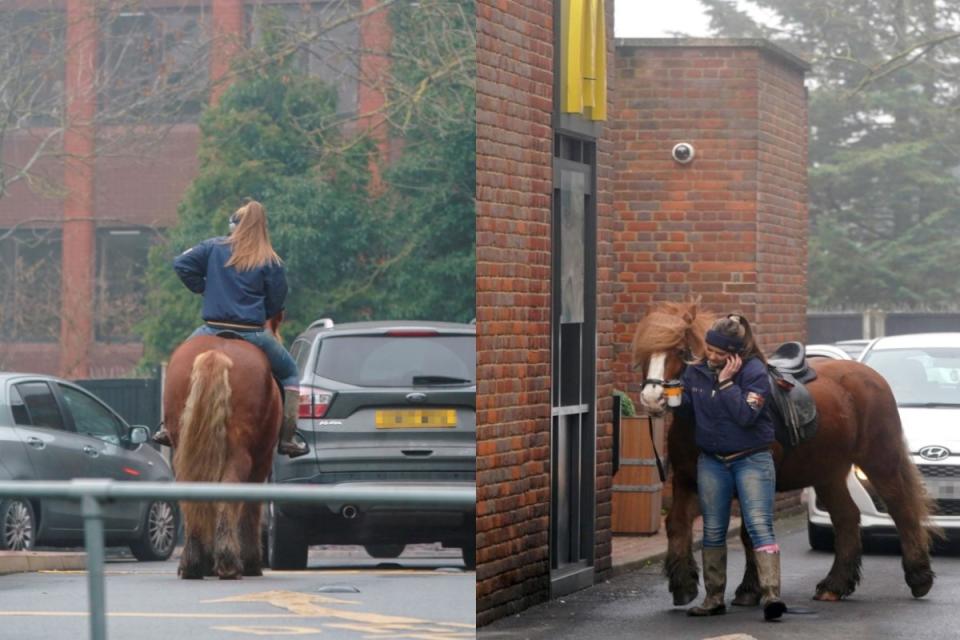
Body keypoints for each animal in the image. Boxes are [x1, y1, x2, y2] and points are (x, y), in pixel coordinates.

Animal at [160, 320, 282, 580]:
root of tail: (216, 354)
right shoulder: (263, 461)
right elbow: (250, 508)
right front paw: (251, 561)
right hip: (240, 454)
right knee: (230, 493)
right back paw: (228, 561)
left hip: (184, 451)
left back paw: (193, 562)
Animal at [632, 302, 936, 608]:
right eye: (643, 351)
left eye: (680, 350)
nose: (652, 398)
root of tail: (871, 376)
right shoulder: (687, 479)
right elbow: (676, 524)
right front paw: (683, 584)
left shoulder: (751, 481)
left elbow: (749, 533)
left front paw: (749, 589)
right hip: (827, 473)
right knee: (847, 517)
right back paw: (835, 585)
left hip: (879, 461)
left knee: (901, 509)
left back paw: (919, 577)